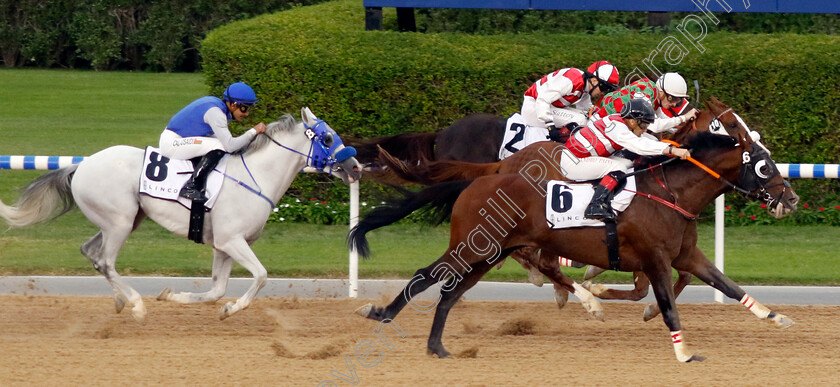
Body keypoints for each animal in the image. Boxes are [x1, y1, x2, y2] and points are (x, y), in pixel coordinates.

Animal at [0, 107, 360, 322]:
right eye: (328, 137)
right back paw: (136, 304)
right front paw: (232, 308)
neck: (255, 176)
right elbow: (260, 276)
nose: (356, 166)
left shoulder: (222, 246)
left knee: (90, 252)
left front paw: (175, 296)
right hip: (119, 222)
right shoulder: (233, 241)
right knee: (105, 261)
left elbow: (216, 290)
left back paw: (120, 300)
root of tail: (81, 165)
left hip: (124, 220)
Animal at [350, 114, 800, 360]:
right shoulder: (655, 260)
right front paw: (685, 353)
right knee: (427, 275)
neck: (671, 193)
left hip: (492, 253)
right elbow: (669, 308)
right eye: (763, 166)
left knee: (450, 291)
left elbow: (728, 284)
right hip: (472, 246)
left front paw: (777, 317)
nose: (791, 198)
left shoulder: (686, 256)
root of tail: (481, 178)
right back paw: (381, 313)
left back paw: (438, 346)